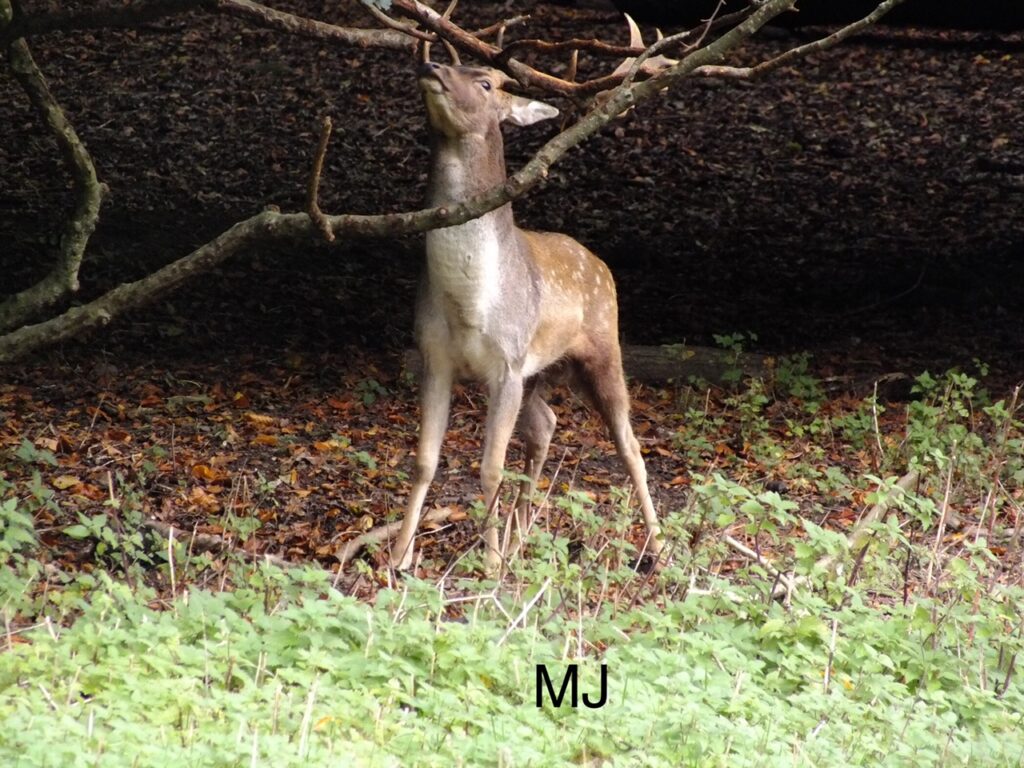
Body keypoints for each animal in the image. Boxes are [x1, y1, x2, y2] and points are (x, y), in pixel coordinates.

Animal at [389, 57, 664, 574]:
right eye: (451, 60)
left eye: (486, 83)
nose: (430, 65)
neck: (469, 304)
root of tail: (601, 264)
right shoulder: (435, 357)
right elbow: (424, 461)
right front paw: (397, 557)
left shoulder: (508, 363)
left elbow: (490, 468)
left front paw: (490, 563)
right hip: (542, 374)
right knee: (546, 427)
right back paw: (521, 543)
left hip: (603, 347)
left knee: (630, 444)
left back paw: (658, 548)